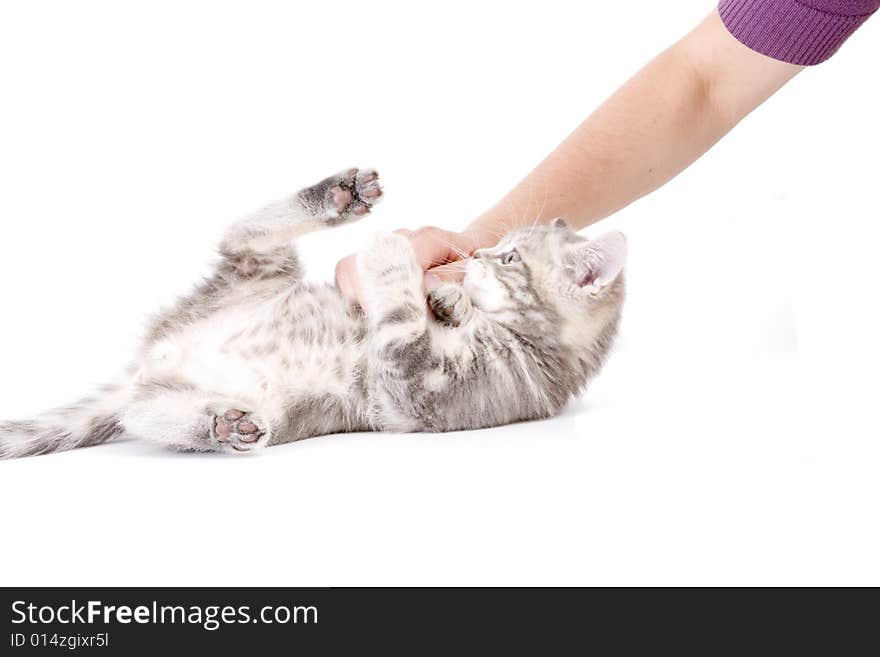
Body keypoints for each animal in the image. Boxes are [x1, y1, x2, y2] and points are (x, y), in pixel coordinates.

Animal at [0, 167, 624, 458]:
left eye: (512, 257)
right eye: (500, 247)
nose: (478, 258)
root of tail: (154, 358)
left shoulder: (419, 388)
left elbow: (403, 325)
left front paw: (394, 254)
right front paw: (447, 292)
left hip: (240, 389)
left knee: (146, 418)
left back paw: (222, 423)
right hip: (257, 271)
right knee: (244, 231)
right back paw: (339, 194)